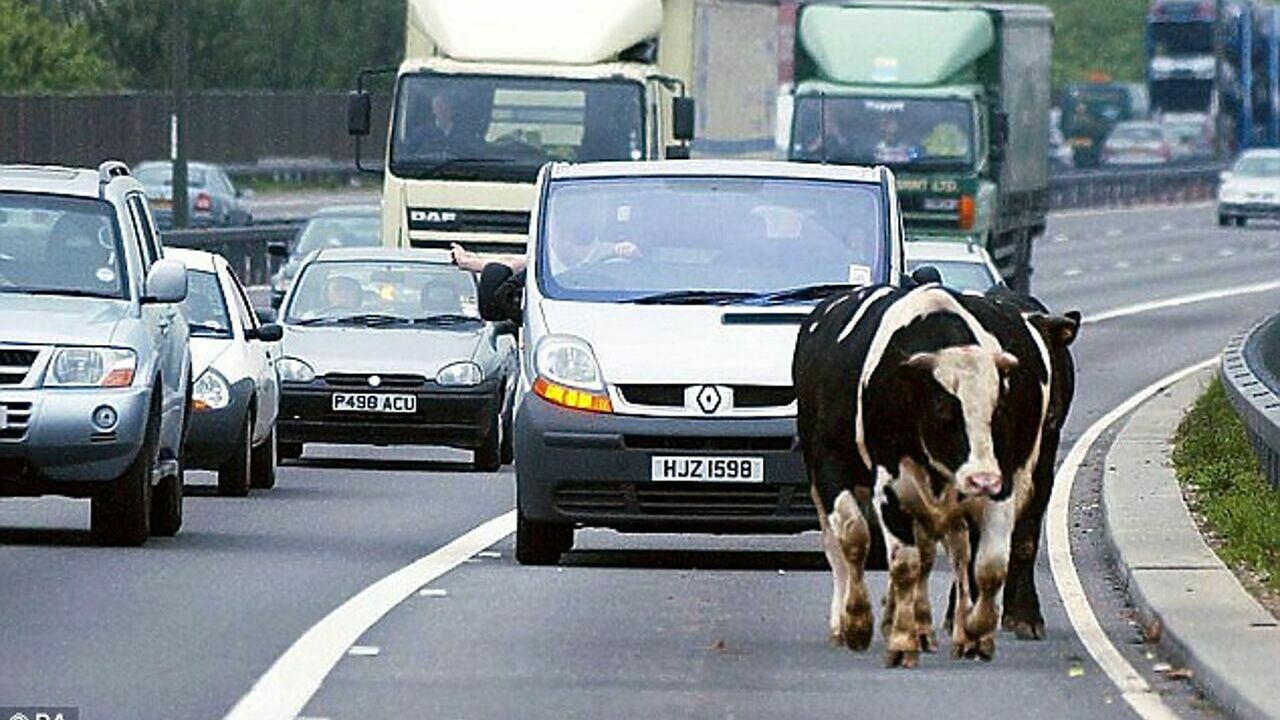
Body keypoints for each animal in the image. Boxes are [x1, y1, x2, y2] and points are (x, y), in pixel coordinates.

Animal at [793, 283, 1064, 666]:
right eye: (942, 410)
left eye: (999, 409)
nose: (982, 479)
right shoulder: (875, 483)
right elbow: (868, 545)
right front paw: (868, 628)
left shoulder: (1003, 483)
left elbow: (989, 565)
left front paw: (975, 634)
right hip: (826, 480)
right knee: (843, 547)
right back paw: (849, 624)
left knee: (944, 555)